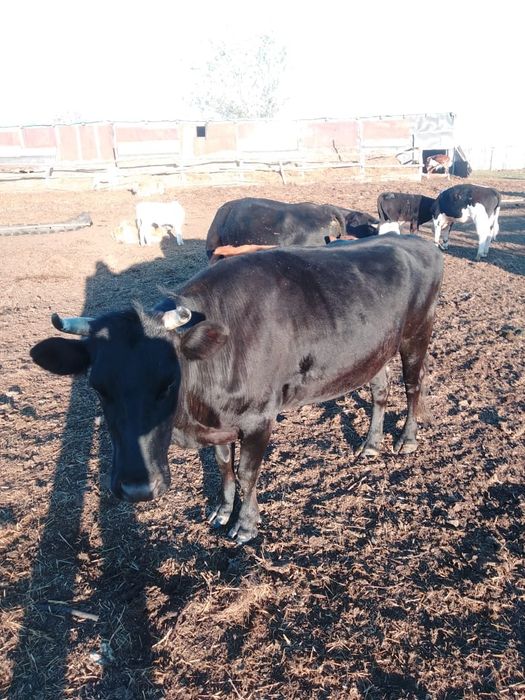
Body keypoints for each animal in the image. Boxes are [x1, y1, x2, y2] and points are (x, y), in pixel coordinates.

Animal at [30, 235, 443, 544]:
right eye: (98, 386)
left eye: (169, 381)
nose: (137, 489)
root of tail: (418, 241)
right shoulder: (221, 424)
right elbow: (223, 465)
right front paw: (222, 511)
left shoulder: (260, 417)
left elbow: (247, 472)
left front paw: (245, 525)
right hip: (374, 351)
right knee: (379, 390)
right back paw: (371, 444)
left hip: (417, 334)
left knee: (413, 386)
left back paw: (407, 439)